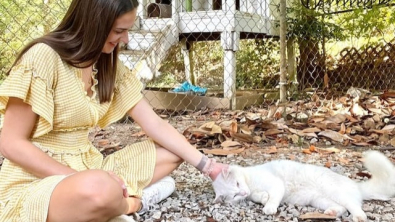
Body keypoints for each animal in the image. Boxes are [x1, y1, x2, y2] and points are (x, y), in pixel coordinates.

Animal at [213, 150, 395, 221]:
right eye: (234, 195)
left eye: (237, 184)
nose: (243, 193)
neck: (250, 182)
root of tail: (356, 184)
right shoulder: (254, 192)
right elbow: (259, 196)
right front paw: (263, 198)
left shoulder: (276, 184)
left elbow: (273, 197)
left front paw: (269, 207)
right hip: (320, 200)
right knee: (342, 208)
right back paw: (331, 212)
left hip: (334, 190)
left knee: (355, 207)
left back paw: (359, 217)